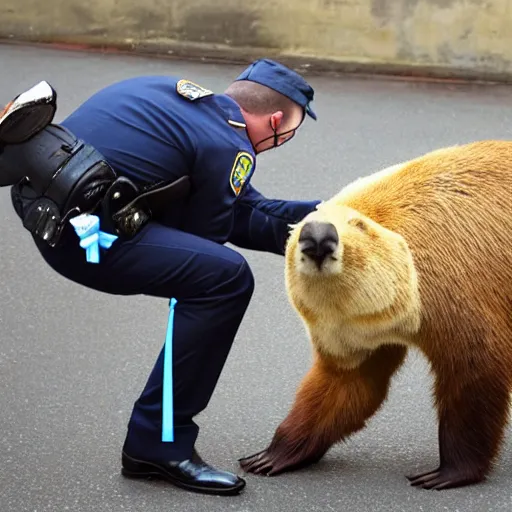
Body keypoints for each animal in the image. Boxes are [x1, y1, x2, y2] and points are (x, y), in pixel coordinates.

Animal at [239, 141, 512, 492]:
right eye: (300, 230)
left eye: (357, 226)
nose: (318, 236)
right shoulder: (354, 332)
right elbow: (346, 384)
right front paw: (270, 456)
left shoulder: (454, 289)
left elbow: (474, 370)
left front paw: (444, 472)